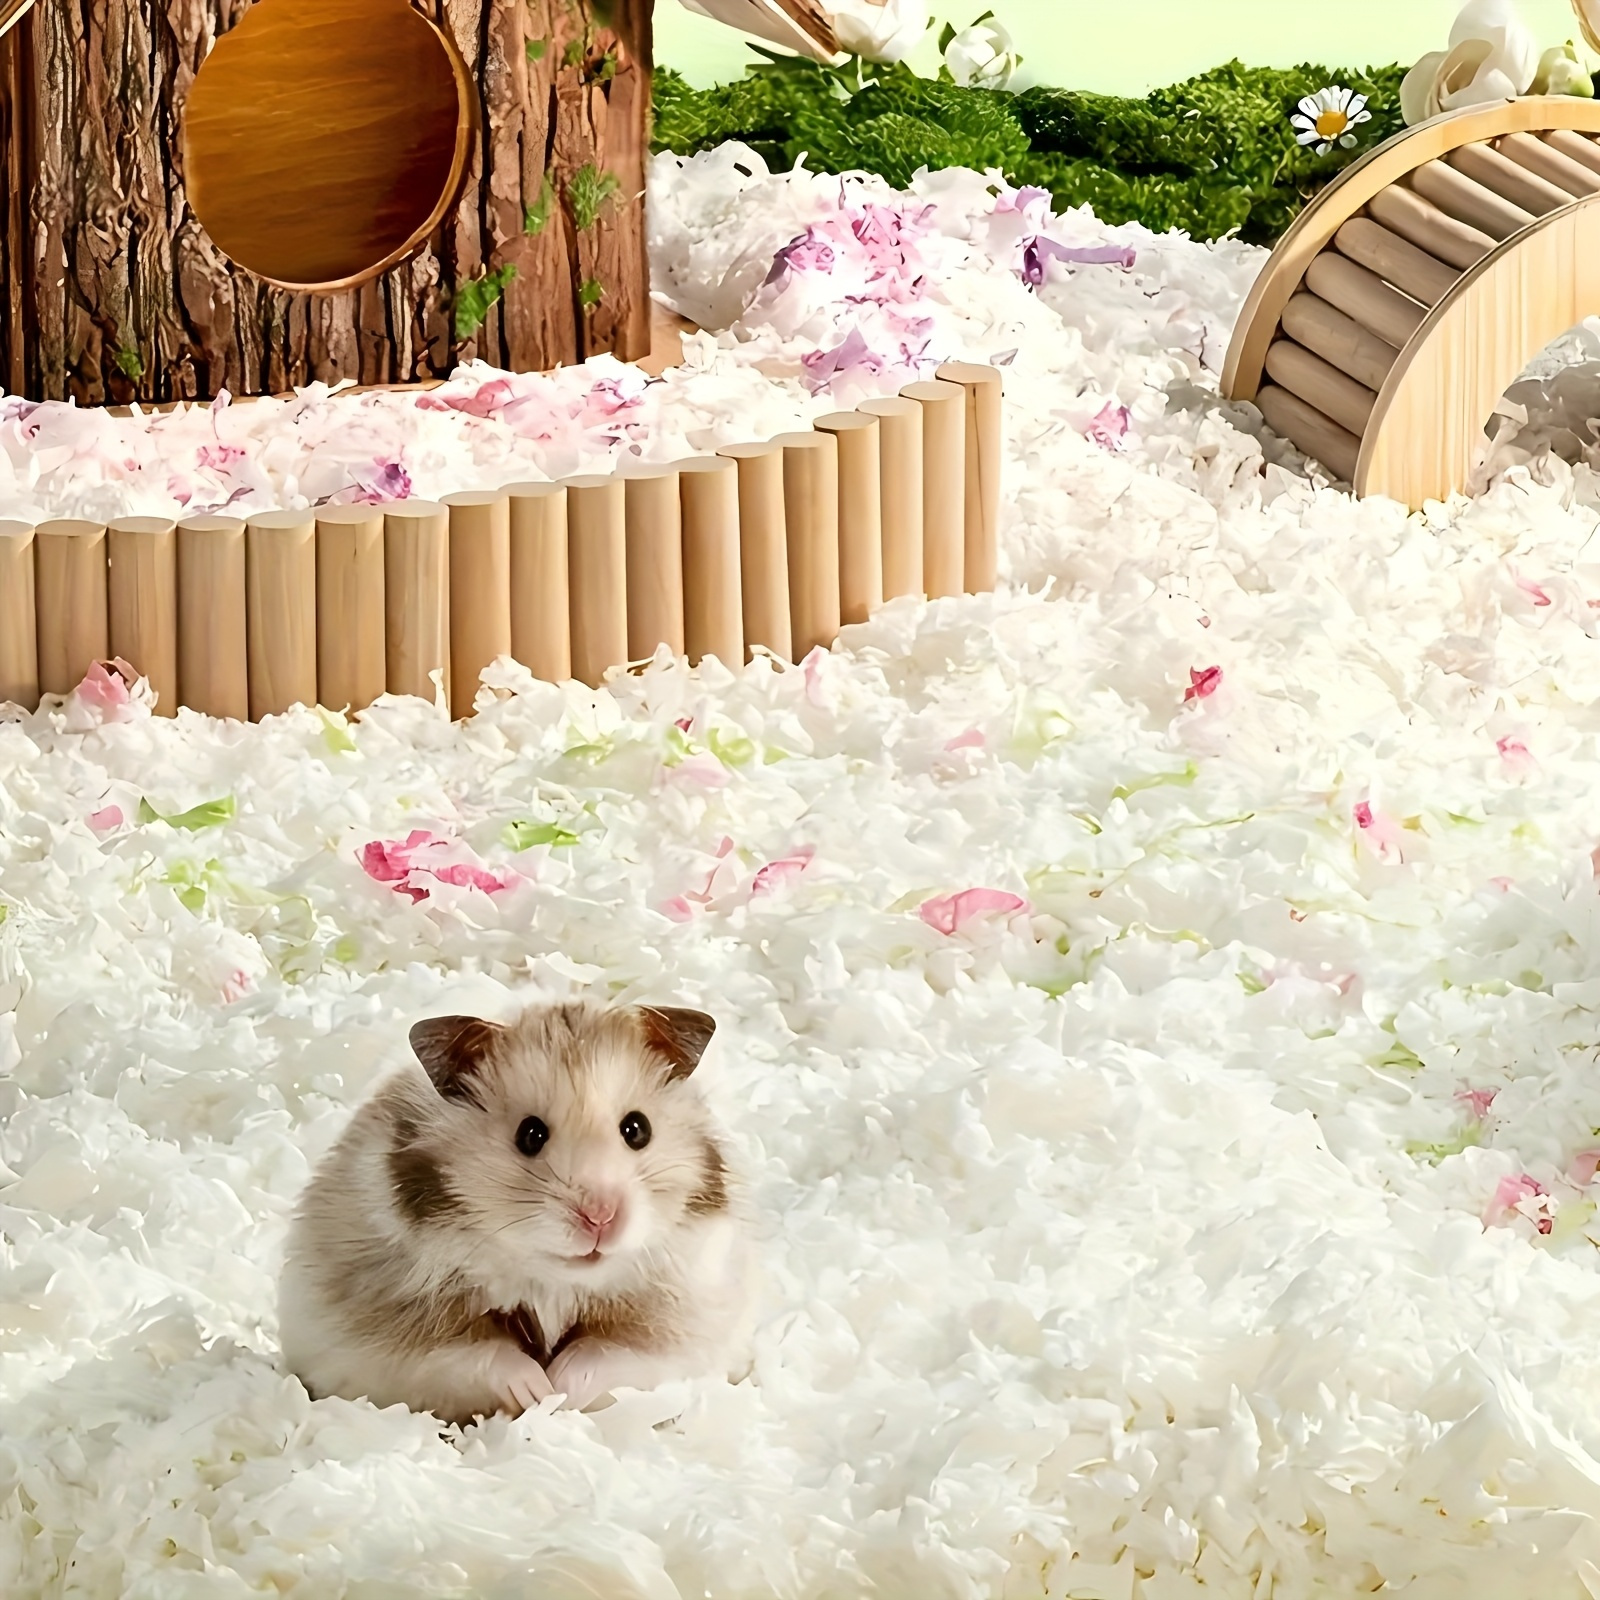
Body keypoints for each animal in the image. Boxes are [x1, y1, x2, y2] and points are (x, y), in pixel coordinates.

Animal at [278, 1000, 753, 1424]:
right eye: (530, 1134)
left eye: (637, 1129)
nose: (600, 1218)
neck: (554, 1280)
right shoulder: (402, 1326)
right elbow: (478, 1355)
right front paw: (537, 1392)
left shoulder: (676, 1319)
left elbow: (609, 1353)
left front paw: (558, 1391)